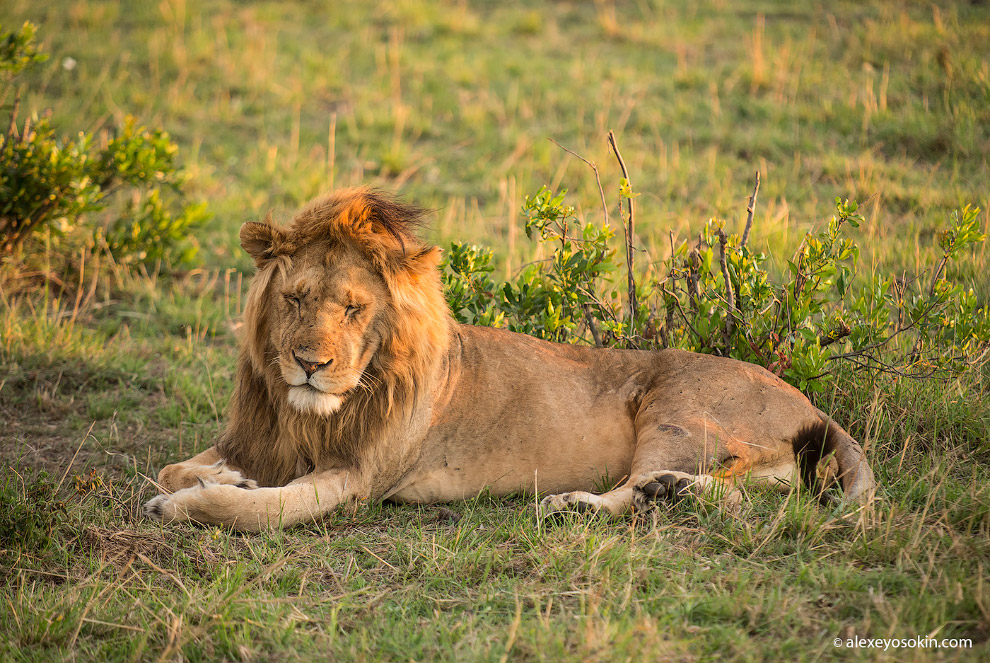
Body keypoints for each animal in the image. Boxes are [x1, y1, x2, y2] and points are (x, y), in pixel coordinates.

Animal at [141, 189, 876, 532]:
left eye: (352, 308)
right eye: (295, 298)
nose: (307, 364)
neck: (312, 411)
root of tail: (814, 404)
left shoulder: (358, 477)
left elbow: (253, 511)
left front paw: (187, 504)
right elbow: (176, 465)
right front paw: (219, 479)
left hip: (675, 408)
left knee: (658, 491)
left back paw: (580, 504)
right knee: (734, 497)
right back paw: (668, 492)